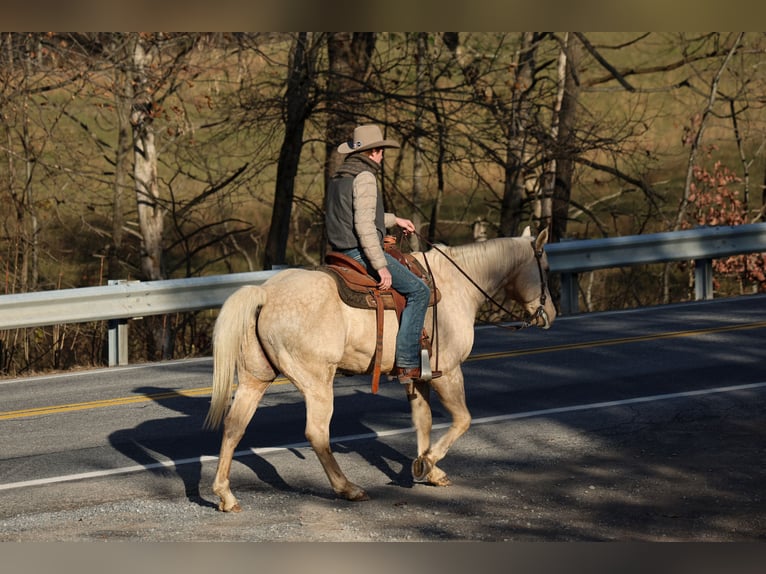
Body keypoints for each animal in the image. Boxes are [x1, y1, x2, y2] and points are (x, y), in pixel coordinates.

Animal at [204, 226, 556, 512]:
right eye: (547, 269)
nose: (549, 313)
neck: (456, 285)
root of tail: (265, 292)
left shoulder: (417, 378)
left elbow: (423, 421)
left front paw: (430, 469)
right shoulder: (449, 372)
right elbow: (462, 420)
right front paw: (427, 463)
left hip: (255, 379)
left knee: (235, 426)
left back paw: (226, 495)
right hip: (317, 383)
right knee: (317, 433)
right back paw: (348, 489)